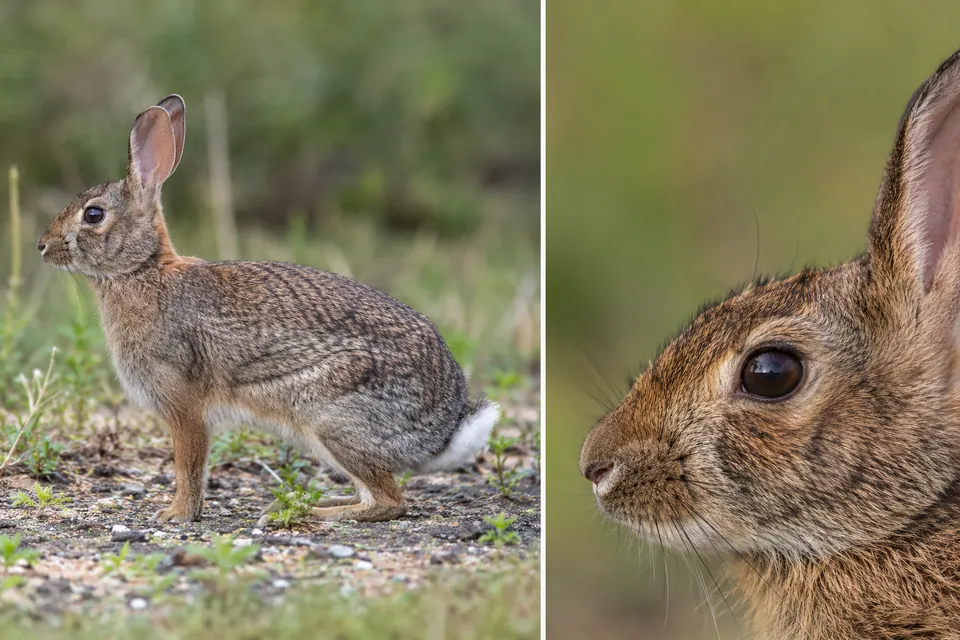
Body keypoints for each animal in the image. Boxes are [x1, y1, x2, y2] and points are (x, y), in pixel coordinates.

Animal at [37, 95, 500, 525]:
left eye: (93, 214)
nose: (42, 246)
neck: (142, 270)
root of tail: (441, 431)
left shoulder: (183, 404)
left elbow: (189, 464)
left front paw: (176, 515)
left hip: (333, 419)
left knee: (389, 502)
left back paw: (308, 514)